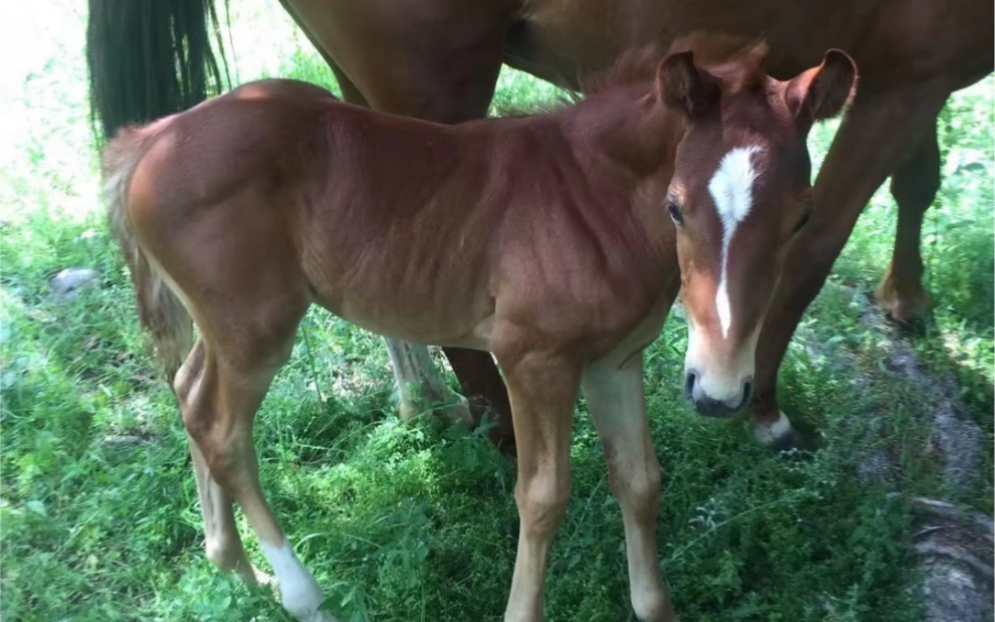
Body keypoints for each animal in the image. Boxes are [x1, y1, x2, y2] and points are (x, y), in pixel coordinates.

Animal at [89, 0, 992, 448]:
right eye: (673, 207)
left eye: (787, 206)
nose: (717, 394)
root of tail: (153, 143)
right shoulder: (907, 76)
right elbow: (821, 253)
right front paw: (770, 413)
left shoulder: (909, 84)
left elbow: (910, 184)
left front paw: (905, 300)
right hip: (429, 79)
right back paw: (490, 425)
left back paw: (427, 403)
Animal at [105, 35, 856, 622]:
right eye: (676, 207)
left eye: (800, 217)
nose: (720, 392)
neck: (592, 195)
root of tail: (151, 141)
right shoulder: (533, 360)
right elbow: (543, 496)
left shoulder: (615, 360)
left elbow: (639, 480)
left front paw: (654, 606)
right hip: (255, 328)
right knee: (223, 430)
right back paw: (301, 594)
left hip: (222, 327)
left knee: (189, 395)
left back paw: (235, 569)